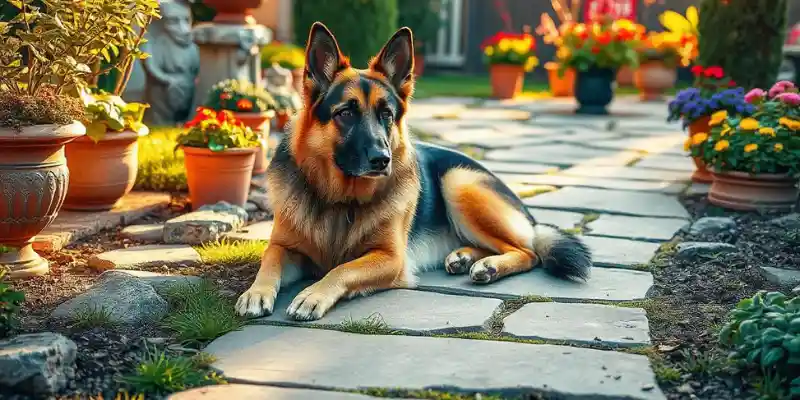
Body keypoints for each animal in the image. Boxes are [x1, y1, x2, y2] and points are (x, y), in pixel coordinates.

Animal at [234, 22, 592, 322]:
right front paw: (255, 292)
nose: (382, 159)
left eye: (387, 115)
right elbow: (269, 258)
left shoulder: (390, 258)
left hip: (458, 182)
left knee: (528, 252)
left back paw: (489, 265)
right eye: (346, 113)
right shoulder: (286, 247)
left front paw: (313, 294)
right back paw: (464, 257)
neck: (340, 198)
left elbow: (341, 270)